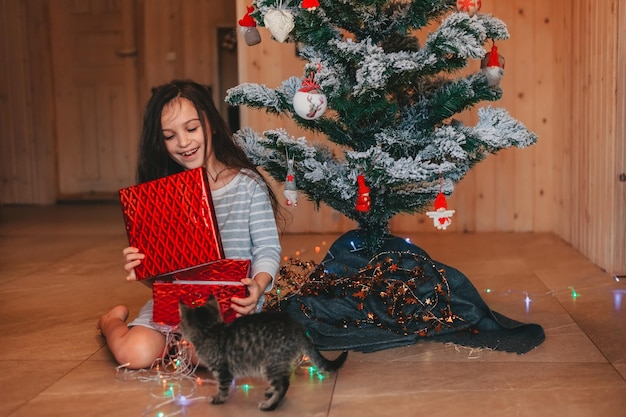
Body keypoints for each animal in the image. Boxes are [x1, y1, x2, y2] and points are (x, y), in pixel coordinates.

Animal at [178, 296, 348, 410]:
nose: (179, 329)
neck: (210, 330)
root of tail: (296, 327)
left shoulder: (223, 370)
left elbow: (223, 386)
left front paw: (219, 398)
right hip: (279, 362)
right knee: (283, 379)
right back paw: (271, 392)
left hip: (271, 363)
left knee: (283, 384)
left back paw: (270, 405)